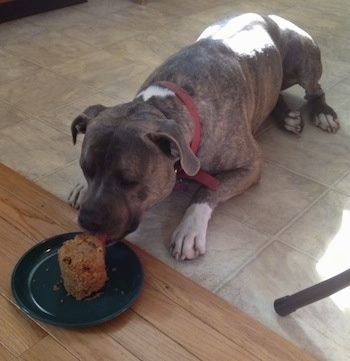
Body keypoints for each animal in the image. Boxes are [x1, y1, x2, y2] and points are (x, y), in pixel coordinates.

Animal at [69, 13, 340, 258]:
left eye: (128, 181)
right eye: (85, 168)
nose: (88, 219)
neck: (170, 103)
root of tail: (268, 14)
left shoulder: (250, 165)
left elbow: (205, 191)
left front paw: (189, 229)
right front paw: (82, 186)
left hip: (303, 60)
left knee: (315, 90)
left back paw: (322, 113)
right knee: (275, 96)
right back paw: (287, 116)